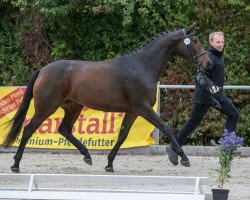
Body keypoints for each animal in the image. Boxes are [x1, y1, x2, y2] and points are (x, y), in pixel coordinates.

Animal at [1, 21, 211, 172]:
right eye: (194, 40)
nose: (207, 64)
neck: (142, 67)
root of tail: (43, 70)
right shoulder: (143, 108)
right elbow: (166, 127)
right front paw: (183, 158)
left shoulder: (133, 111)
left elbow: (122, 135)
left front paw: (109, 163)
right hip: (46, 107)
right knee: (28, 130)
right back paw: (15, 165)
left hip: (73, 106)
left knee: (64, 130)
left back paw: (87, 156)